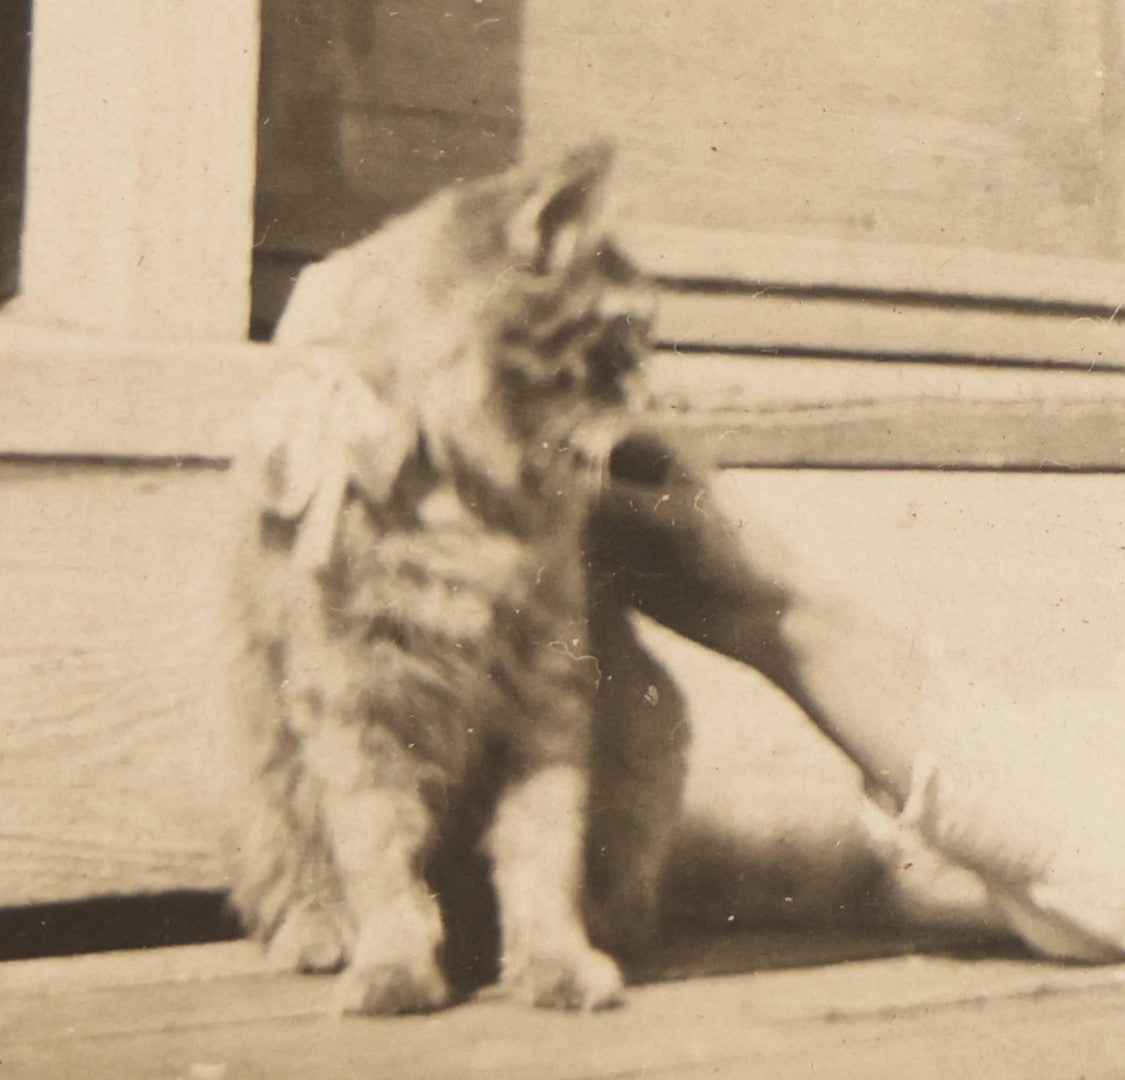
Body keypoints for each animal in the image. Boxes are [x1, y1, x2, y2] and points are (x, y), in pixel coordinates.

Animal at [226, 143, 684, 1012]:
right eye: (620, 343)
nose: (660, 417)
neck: (461, 507)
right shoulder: (350, 696)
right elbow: (376, 852)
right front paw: (394, 963)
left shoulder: (548, 697)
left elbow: (542, 851)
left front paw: (555, 958)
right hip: (266, 751)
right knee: (295, 865)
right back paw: (320, 928)